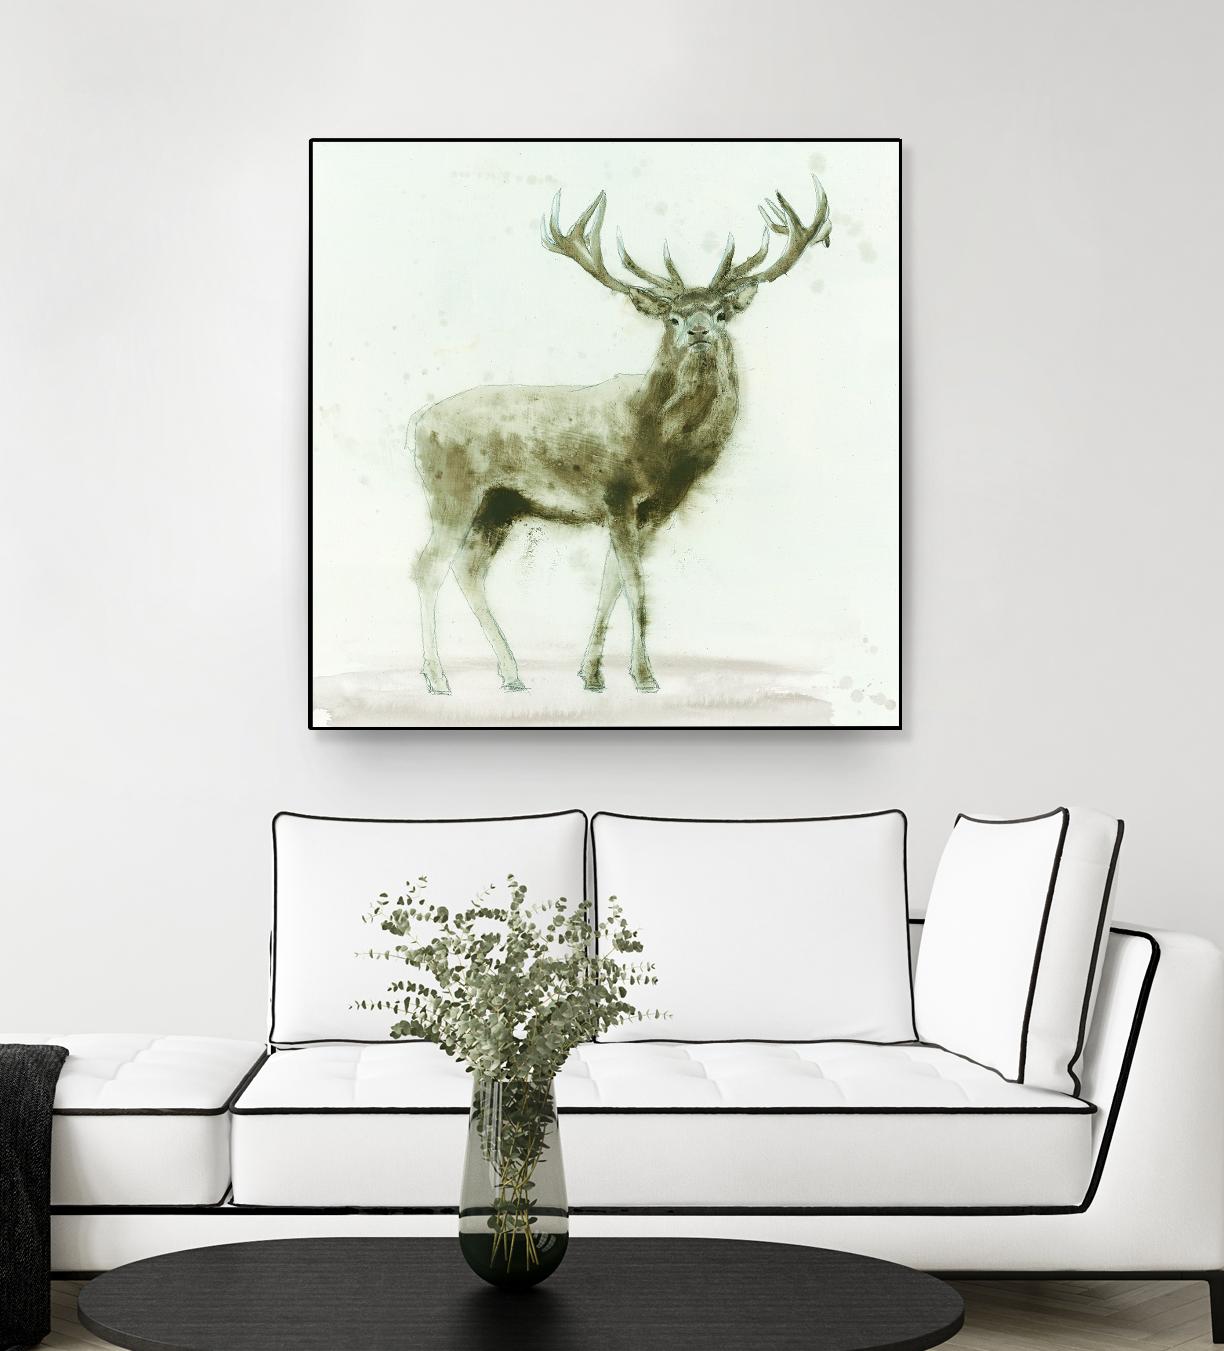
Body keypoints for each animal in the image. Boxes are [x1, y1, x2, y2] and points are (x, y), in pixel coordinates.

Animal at [410, 173, 831, 696]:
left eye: (720, 313)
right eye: (673, 316)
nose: (697, 331)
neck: (658, 441)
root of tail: (416, 425)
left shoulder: (652, 509)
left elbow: (612, 581)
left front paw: (591, 674)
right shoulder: (616, 493)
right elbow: (636, 585)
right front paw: (645, 677)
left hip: (500, 505)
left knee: (468, 570)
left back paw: (511, 673)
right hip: (452, 490)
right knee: (427, 567)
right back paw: (437, 678)